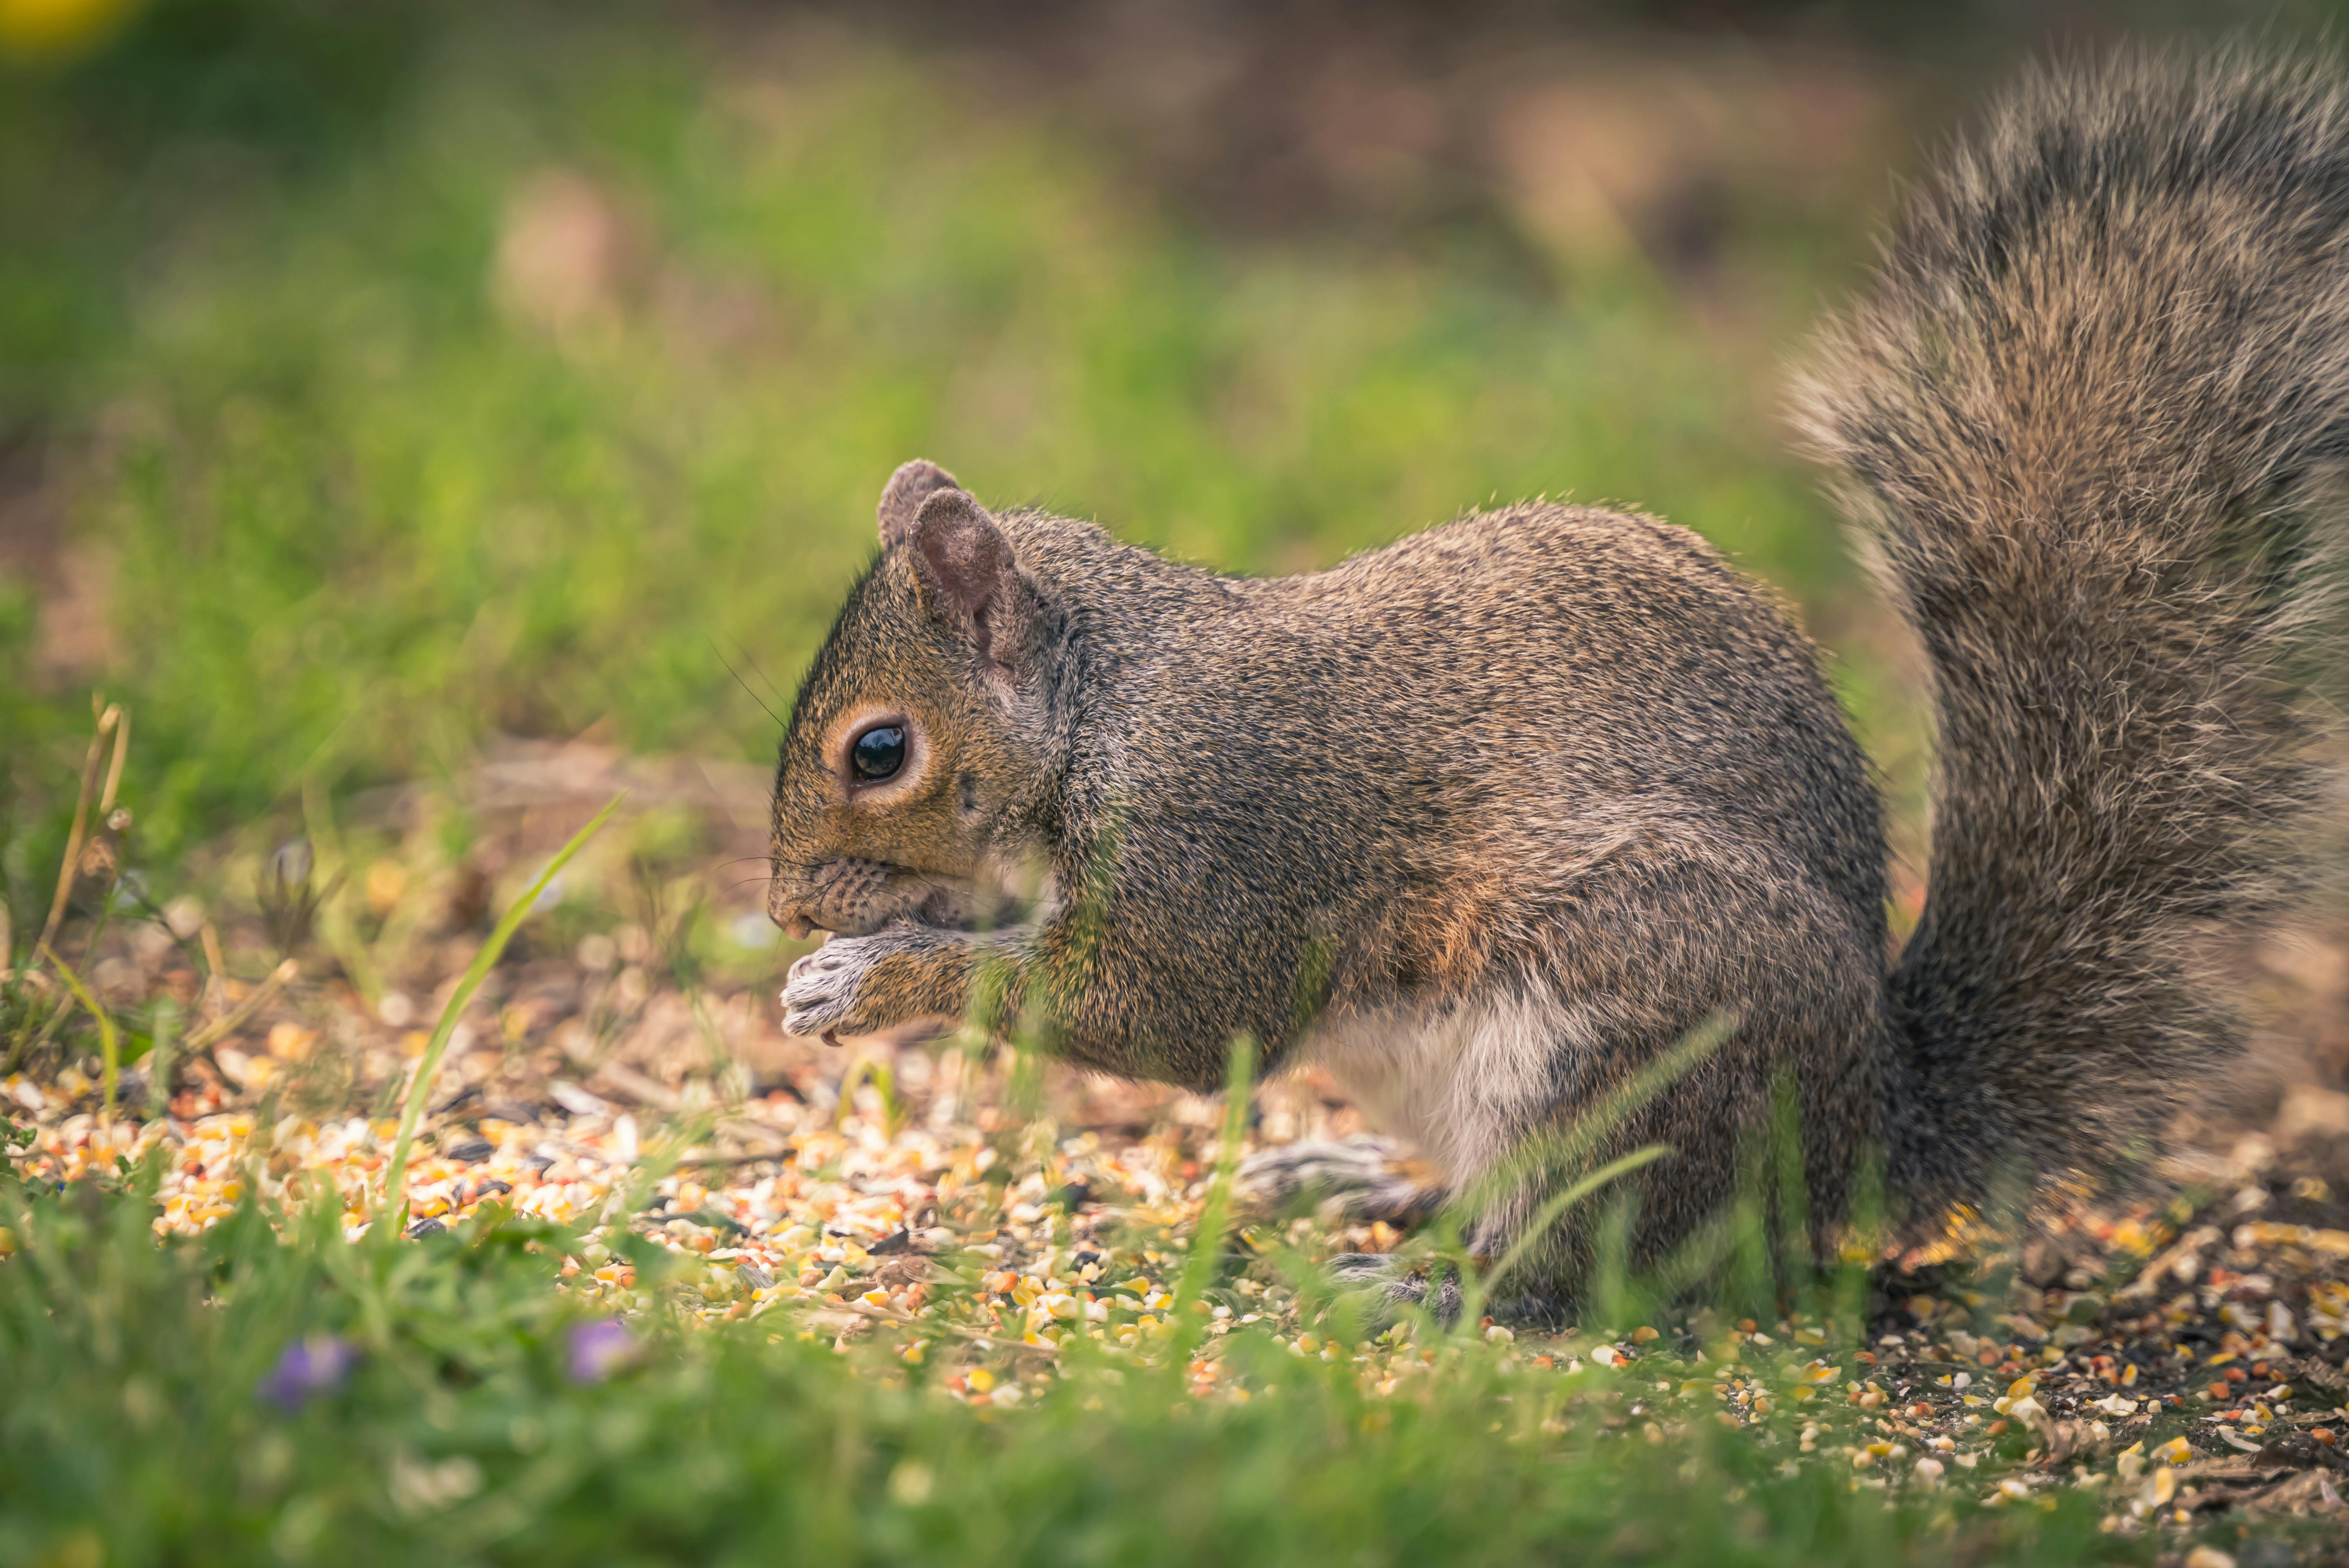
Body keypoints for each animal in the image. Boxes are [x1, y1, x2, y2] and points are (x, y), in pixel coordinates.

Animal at [770, 49, 2349, 1314]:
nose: (784, 908)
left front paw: (866, 975)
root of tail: (1849, 1147)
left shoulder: (1222, 830)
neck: (1099, 702)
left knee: (1586, 1266)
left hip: (1624, 1050)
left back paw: (1418, 1295)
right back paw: (1365, 1184)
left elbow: (1159, 1012)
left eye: (877, 751)